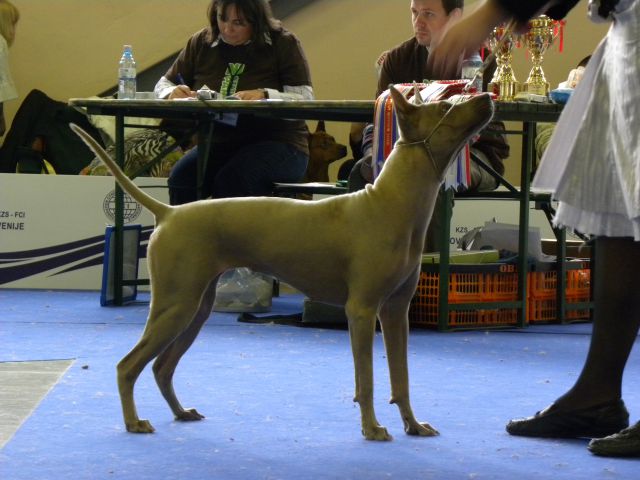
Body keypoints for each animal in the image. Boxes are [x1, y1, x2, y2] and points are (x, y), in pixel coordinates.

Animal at [72, 87, 496, 442]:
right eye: (446, 106)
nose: (487, 94)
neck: (389, 203)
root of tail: (169, 211)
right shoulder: (361, 311)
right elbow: (367, 380)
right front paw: (372, 428)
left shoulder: (396, 312)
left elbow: (401, 378)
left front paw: (413, 424)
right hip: (176, 305)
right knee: (128, 366)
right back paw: (133, 422)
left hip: (196, 307)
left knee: (162, 367)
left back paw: (180, 412)